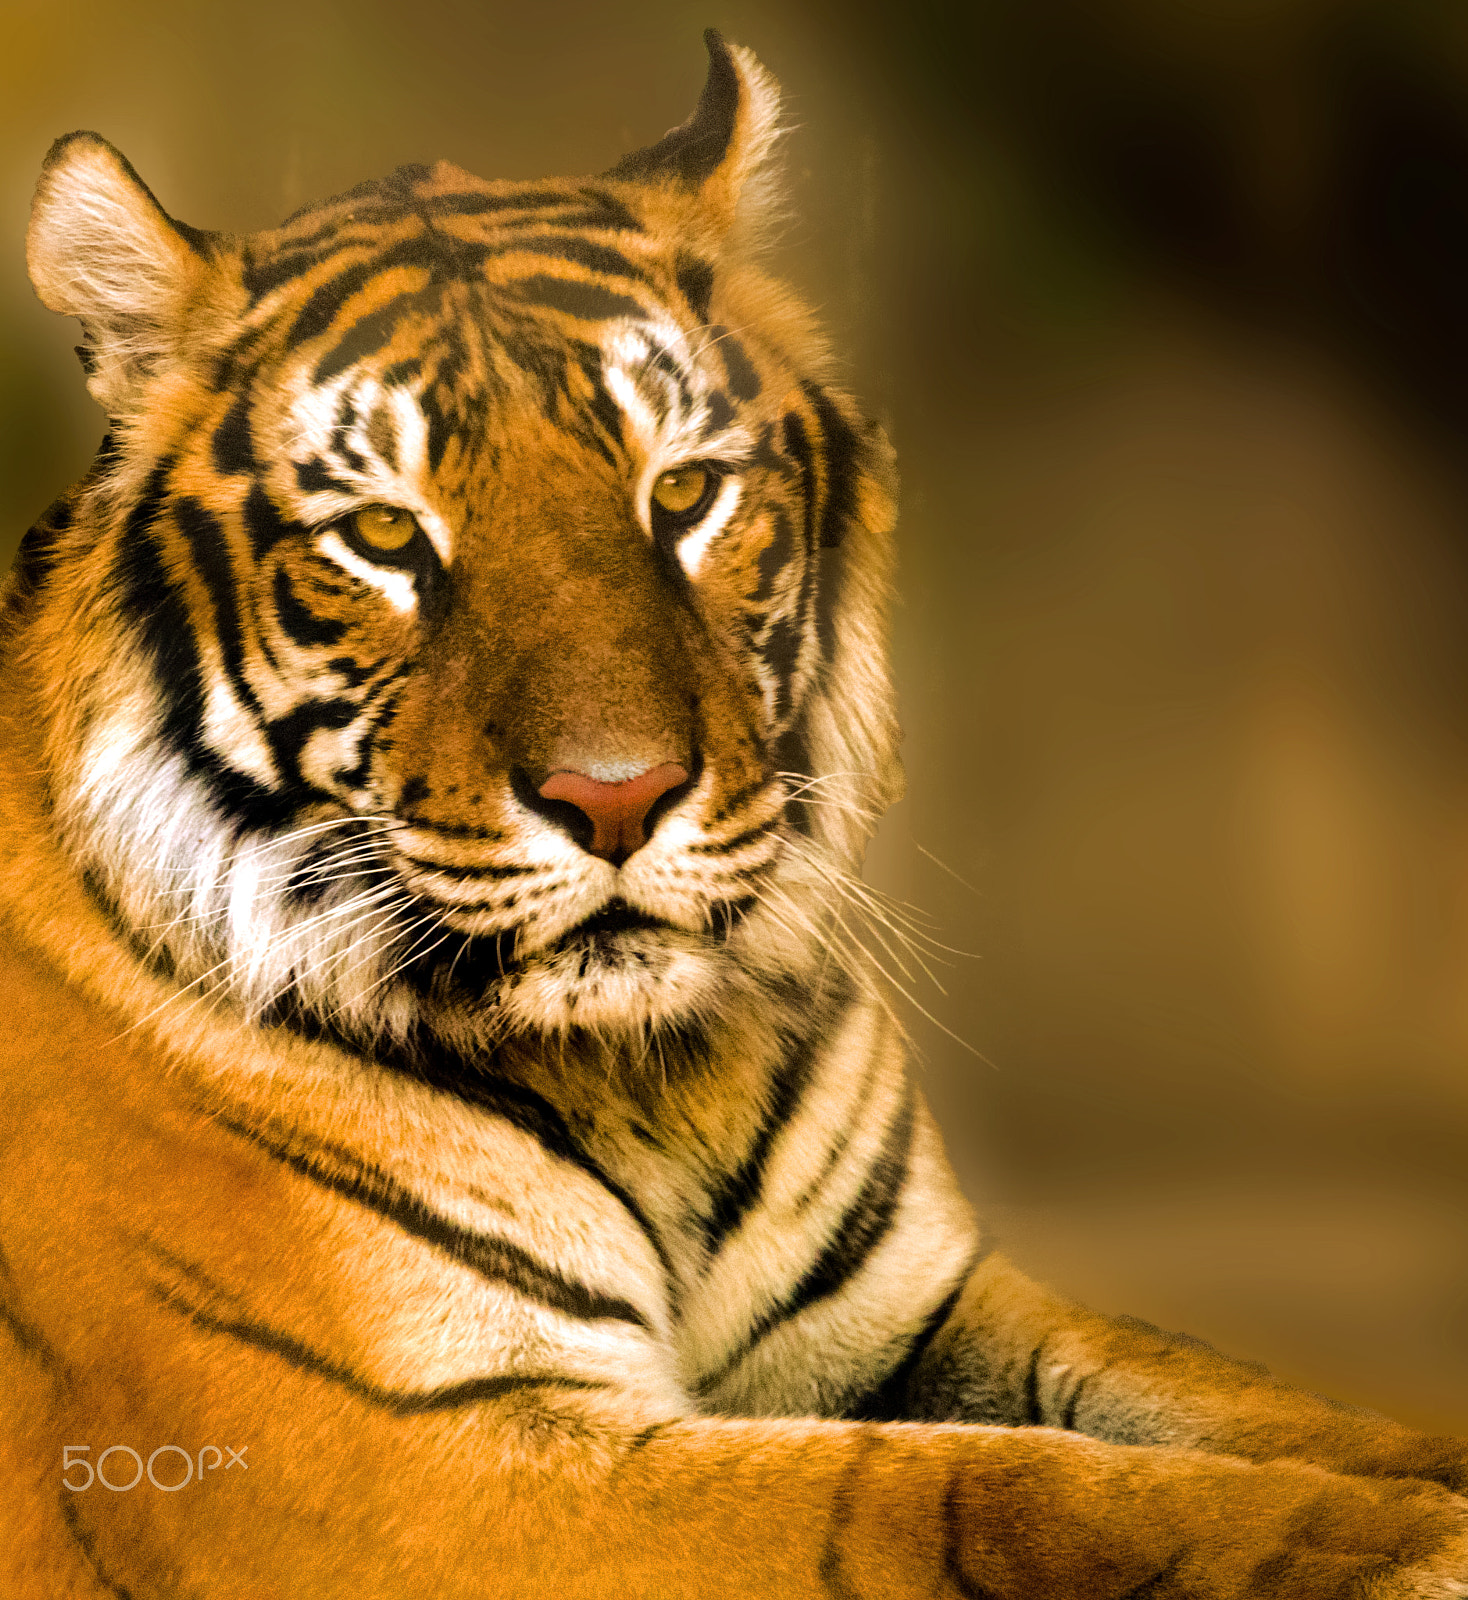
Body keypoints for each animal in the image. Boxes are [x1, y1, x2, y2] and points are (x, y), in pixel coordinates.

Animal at [2, 27, 1467, 1599]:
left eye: (687, 493)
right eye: (385, 533)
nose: (617, 797)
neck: (656, 1081)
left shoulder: (928, 1311)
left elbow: (1230, 1394)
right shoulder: (402, 1467)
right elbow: (971, 1494)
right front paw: (1404, 1545)